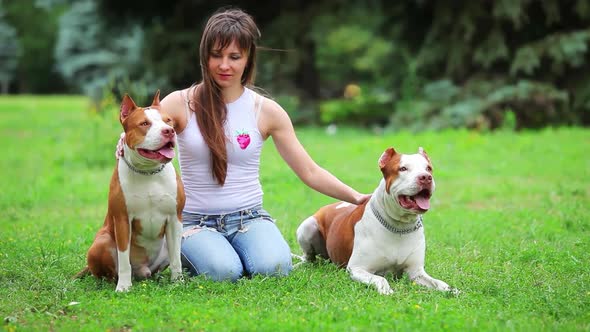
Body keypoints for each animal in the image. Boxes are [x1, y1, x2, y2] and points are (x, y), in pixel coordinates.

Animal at [77, 92, 185, 292]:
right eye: (144, 123)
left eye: (168, 121)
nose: (168, 131)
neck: (148, 172)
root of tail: (142, 270)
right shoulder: (122, 219)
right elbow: (124, 258)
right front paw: (123, 287)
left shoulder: (175, 218)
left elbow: (176, 258)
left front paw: (178, 282)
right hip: (101, 242)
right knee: (109, 271)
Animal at [296, 147, 454, 294]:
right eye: (403, 168)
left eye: (428, 168)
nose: (426, 177)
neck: (399, 226)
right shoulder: (357, 268)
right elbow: (380, 279)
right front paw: (387, 290)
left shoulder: (416, 272)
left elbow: (439, 283)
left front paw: (451, 290)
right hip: (307, 227)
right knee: (308, 258)